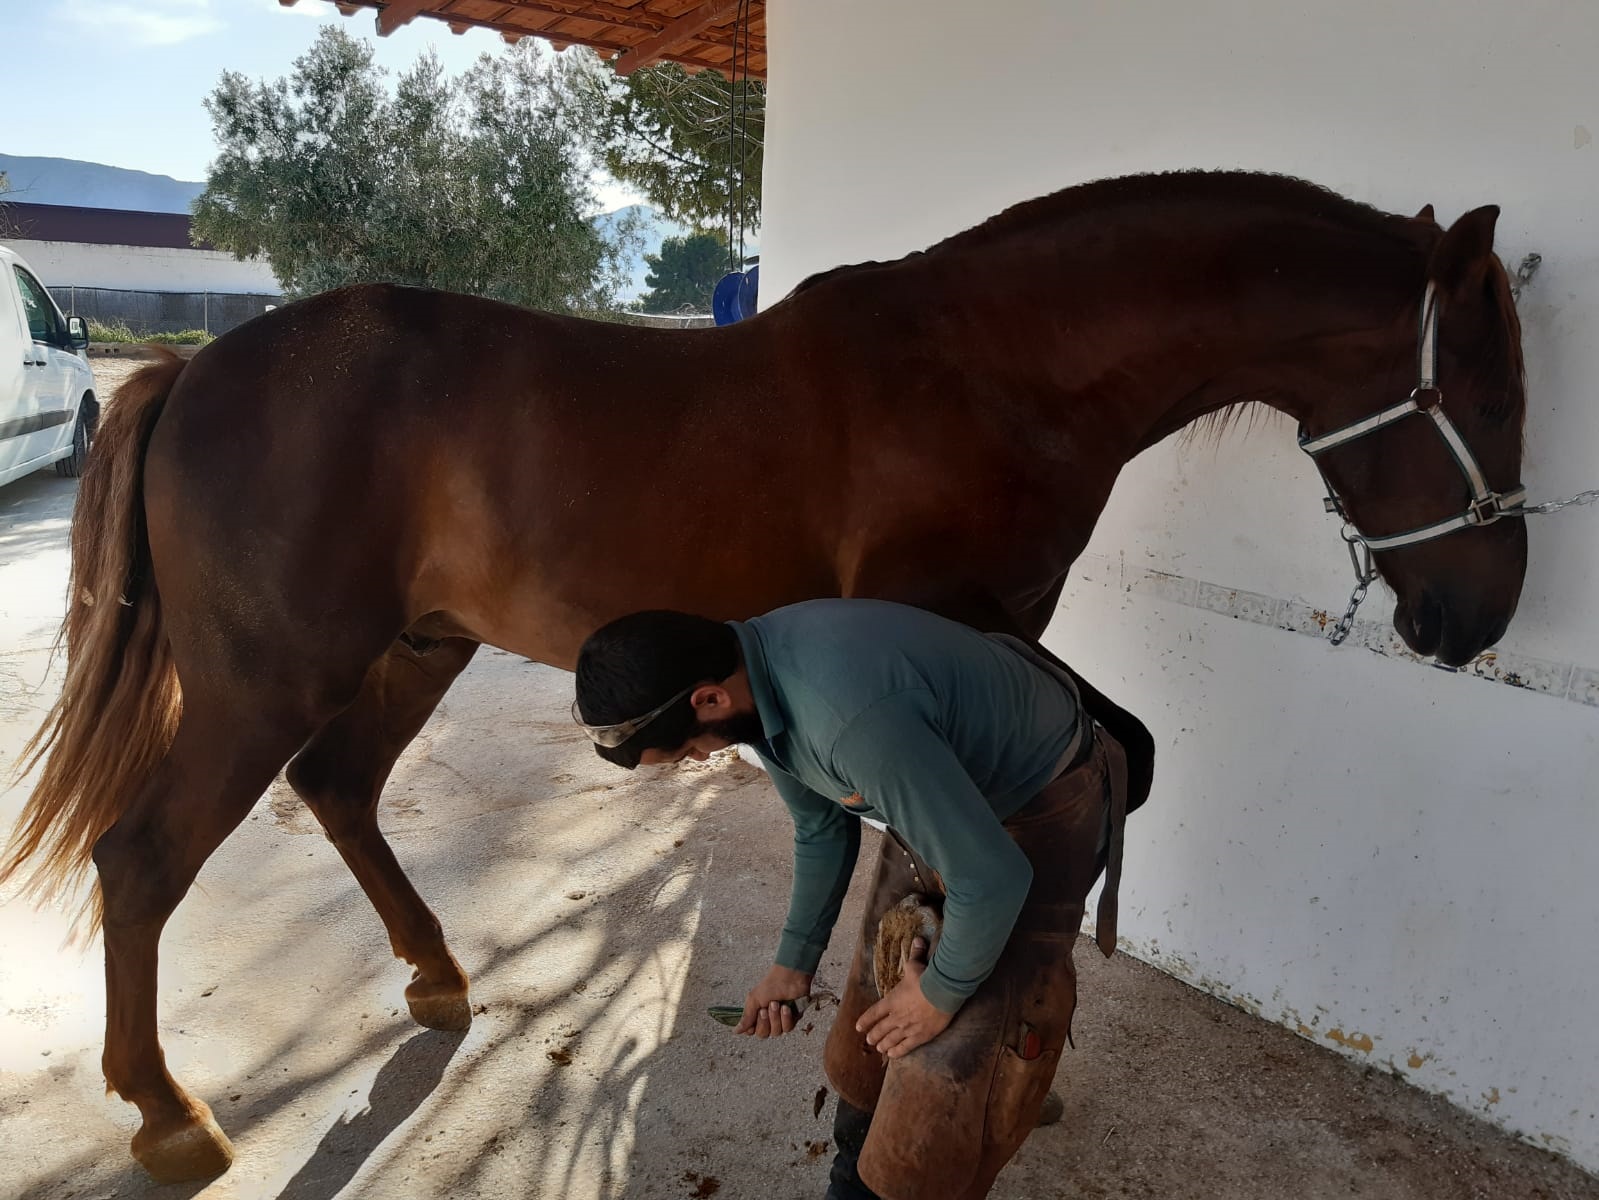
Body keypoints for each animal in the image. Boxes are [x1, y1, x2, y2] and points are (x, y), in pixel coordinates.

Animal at [1, 171, 1528, 1182]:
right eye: (1497, 392)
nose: (1471, 617)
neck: (991, 370)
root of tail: (193, 374)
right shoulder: (942, 630)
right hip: (266, 678)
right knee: (143, 860)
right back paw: (167, 1113)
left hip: (411, 649)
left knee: (337, 789)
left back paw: (436, 975)